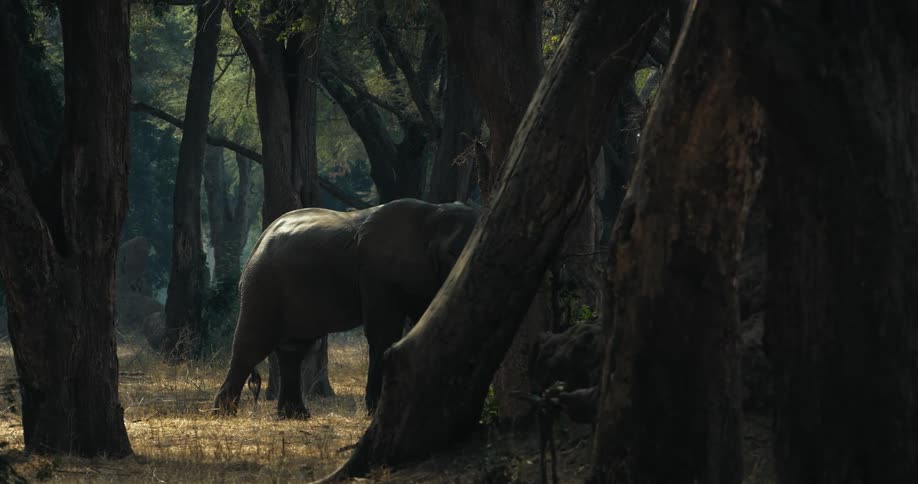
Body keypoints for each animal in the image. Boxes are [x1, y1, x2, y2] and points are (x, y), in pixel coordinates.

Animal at [214, 198, 479, 418]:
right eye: (453, 252)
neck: (434, 214)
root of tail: (260, 239)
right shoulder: (376, 272)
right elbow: (383, 332)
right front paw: (374, 411)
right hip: (262, 284)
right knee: (253, 344)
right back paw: (224, 413)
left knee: (294, 349)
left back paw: (295, 416)